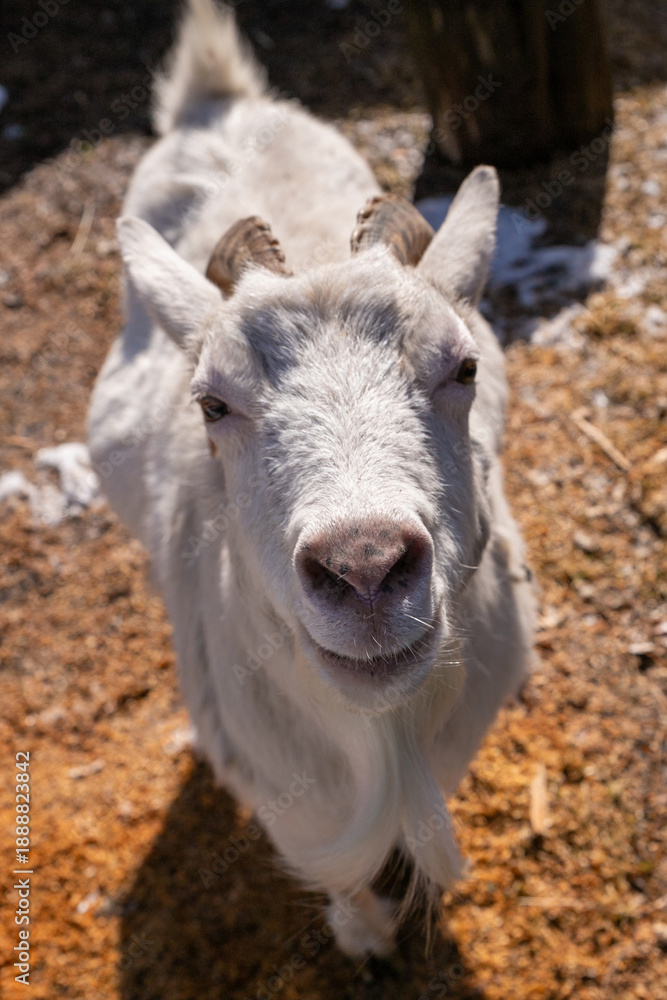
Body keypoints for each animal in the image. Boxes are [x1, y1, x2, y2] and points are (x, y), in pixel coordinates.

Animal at [87, 0, 534, 957]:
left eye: (464, 367)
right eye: (212, 403)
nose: (364, 567)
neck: (383, 740)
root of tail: (216, 101)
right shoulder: (280, 790)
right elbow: (330, 865)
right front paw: (363, 935)